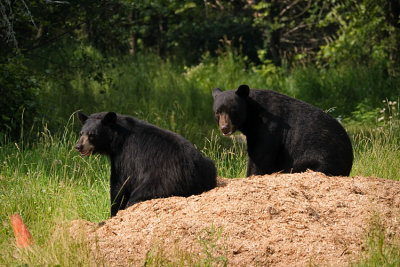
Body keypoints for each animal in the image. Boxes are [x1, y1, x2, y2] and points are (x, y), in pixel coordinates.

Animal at [76, 111, 217, 218]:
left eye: (92, 134)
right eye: (81, 133)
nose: (78, 146)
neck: (119, 138)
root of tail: (194, 172)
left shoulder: (125, 157)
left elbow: (119, 184)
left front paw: (113, 213)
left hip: (161, 182)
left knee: (137, 196)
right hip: (210, 166)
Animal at [212, 86, 354, 177]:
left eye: (232, 111)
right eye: (217, 112)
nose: (224, 127)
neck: (252, 115)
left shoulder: (269, 128)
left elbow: (260, 156)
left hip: (321, 157)